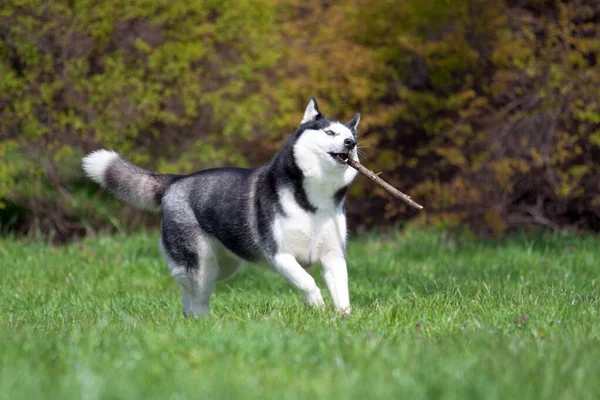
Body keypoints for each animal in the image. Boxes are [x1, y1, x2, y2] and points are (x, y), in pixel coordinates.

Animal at [82, 98, 358, 318]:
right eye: (330, 132)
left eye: (350, 136)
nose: (350, 142)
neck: (312, 200)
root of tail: (176, 180)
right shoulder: (280, 255)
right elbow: (307, 280)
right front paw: (316, 303)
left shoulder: (334, 255)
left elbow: (342, 292)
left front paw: (343, 320)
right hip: (199, 263)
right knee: (195, 294)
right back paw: (200, 323)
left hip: (223, 267)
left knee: (191, 294)